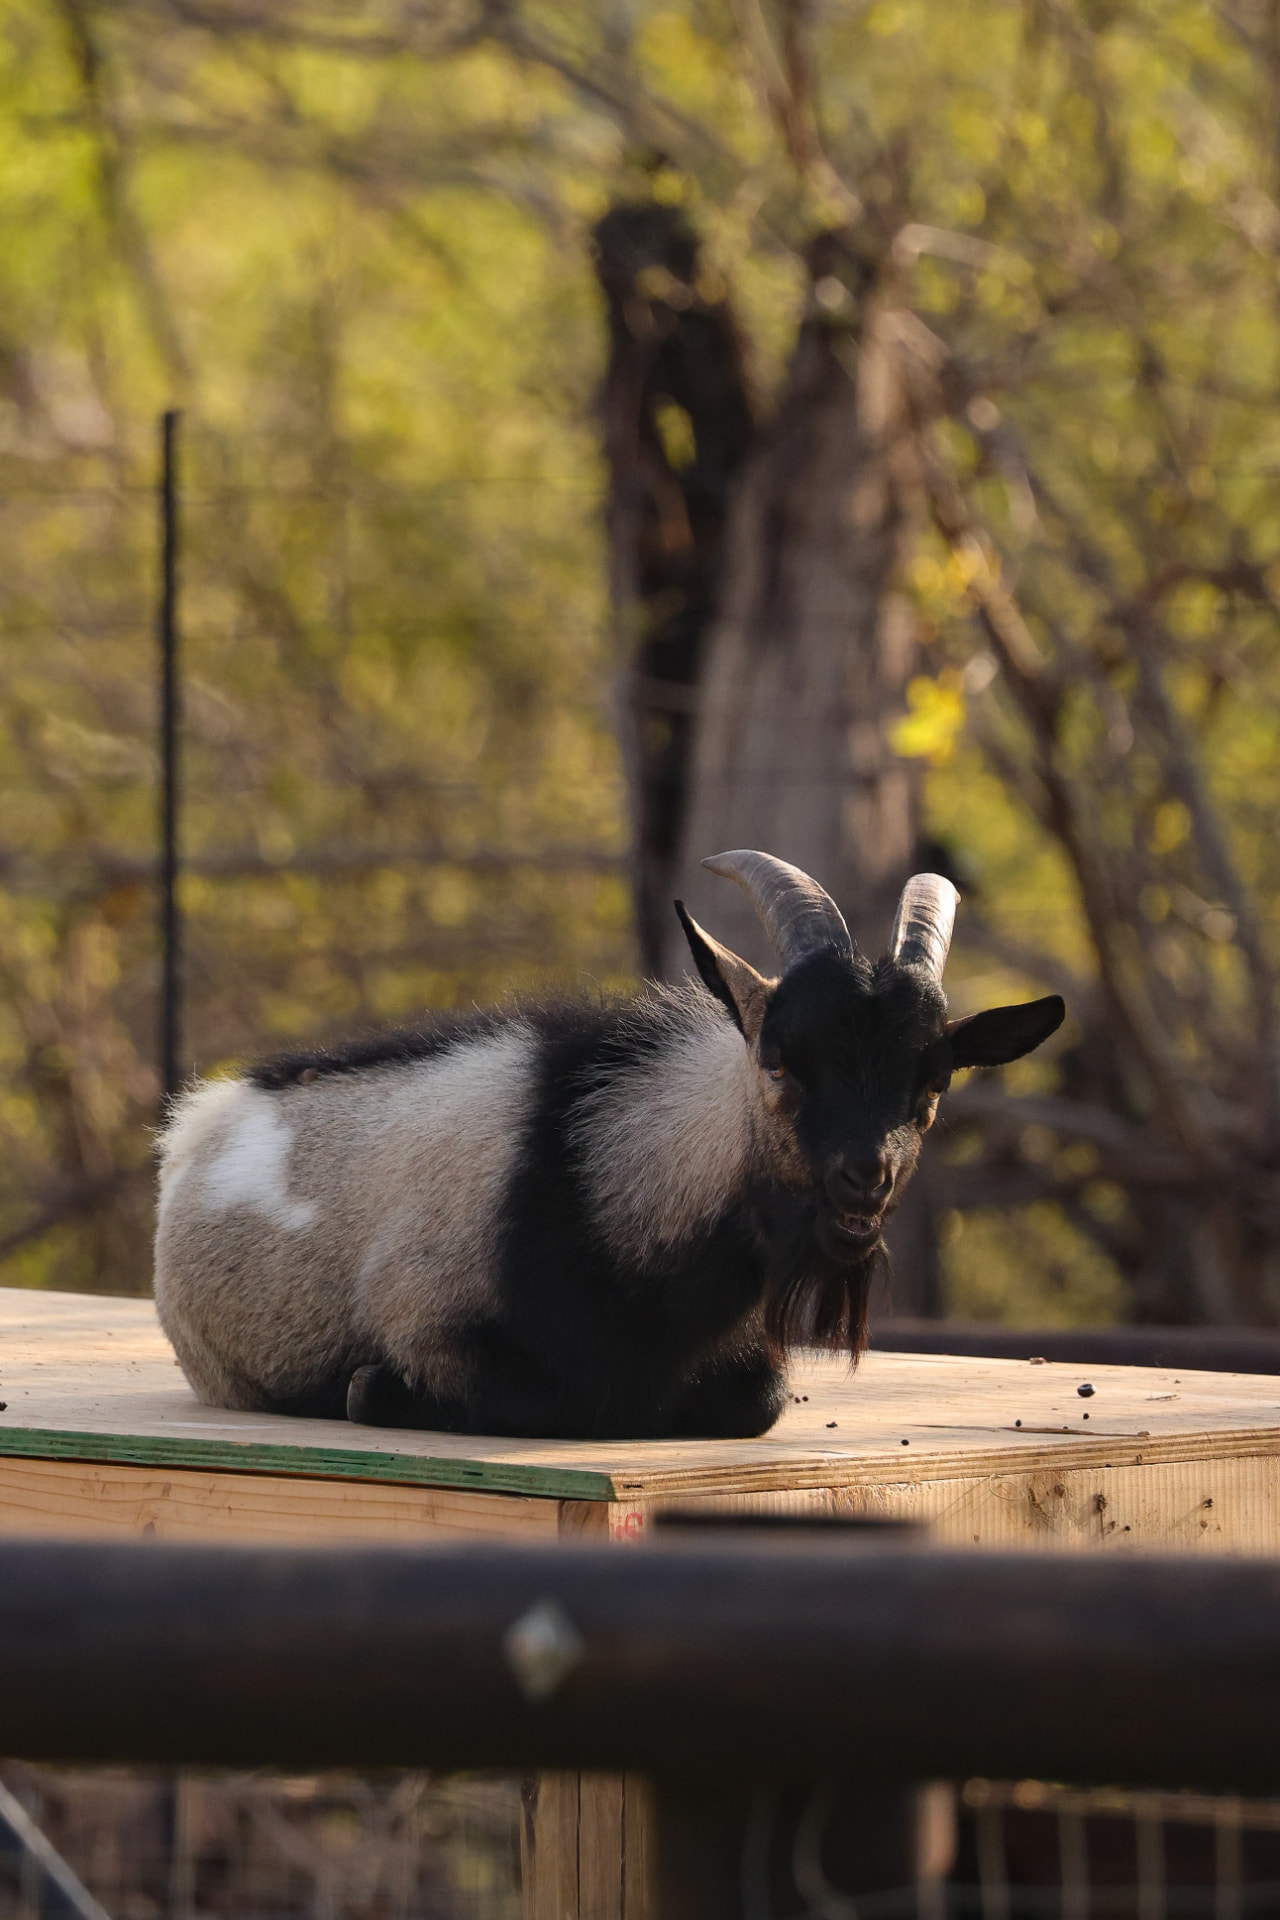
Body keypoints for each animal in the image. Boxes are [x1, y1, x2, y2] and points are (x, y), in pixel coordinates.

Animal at [154, 852, 1064, 1440]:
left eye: (932, 1088)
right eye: (778, 1061)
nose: (863, 1180)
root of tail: (196, 1124)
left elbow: (759, 1403)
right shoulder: (425, 1319)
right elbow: (518, 1398)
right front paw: (368, 1391)